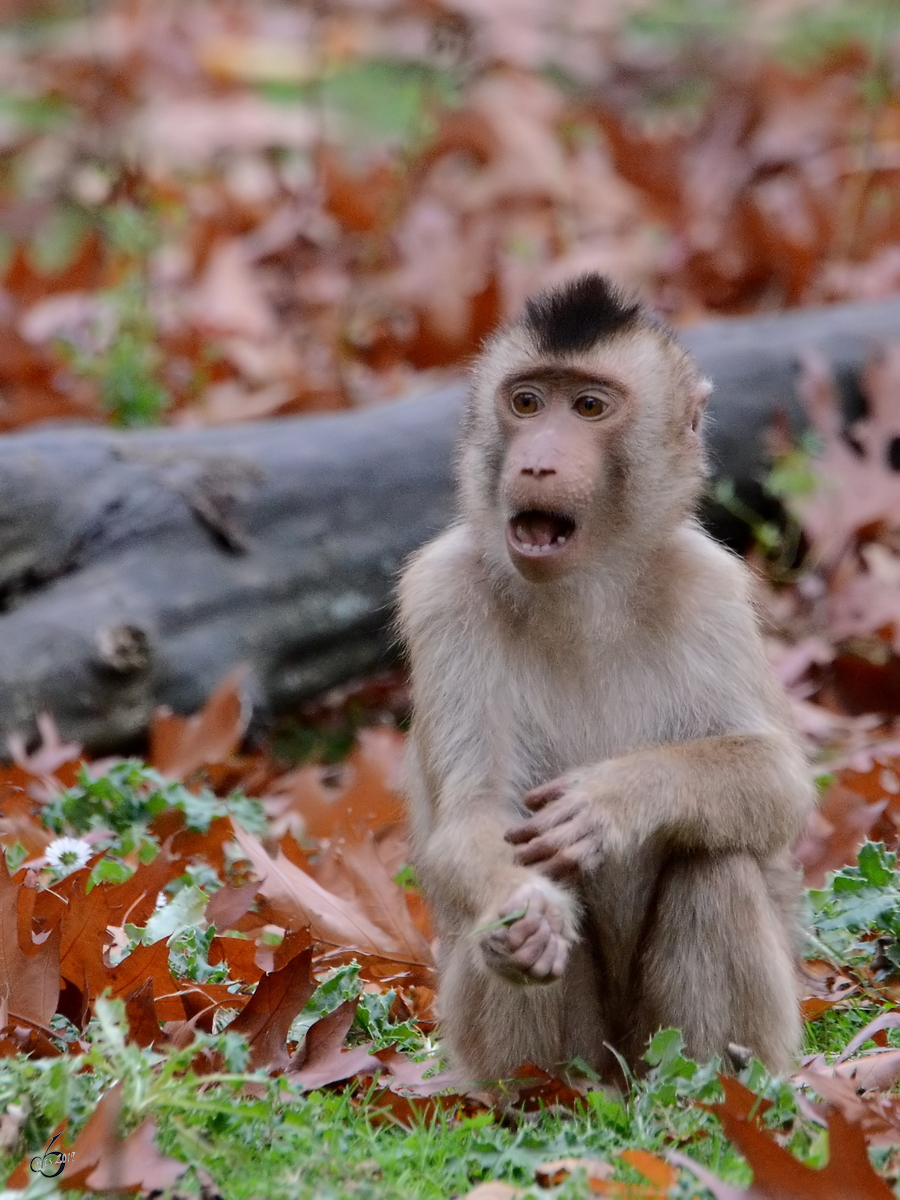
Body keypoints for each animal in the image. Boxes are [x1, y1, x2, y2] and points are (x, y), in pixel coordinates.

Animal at [396, 274, 816, 1089]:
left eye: (589, 407)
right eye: (527, 402)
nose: (537, 463)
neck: (584, 592)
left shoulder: (712, 588)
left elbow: (779, 778)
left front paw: (618, 799)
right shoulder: (442, 596)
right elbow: (476, 815)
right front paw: (524, 913)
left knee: (714, 864)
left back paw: (715, 1091)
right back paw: (536, 1095)